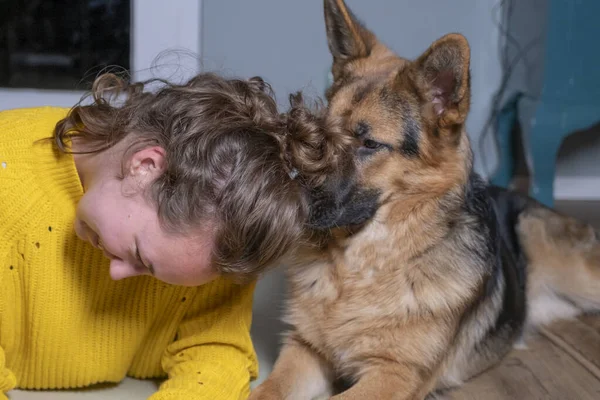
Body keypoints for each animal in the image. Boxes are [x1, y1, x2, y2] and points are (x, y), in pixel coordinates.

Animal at [248, 1, 600, 398]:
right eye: (320, 136)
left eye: (368, 144)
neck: (360, 266)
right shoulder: (305, 349)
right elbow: (266, 390)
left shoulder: (393, 375)